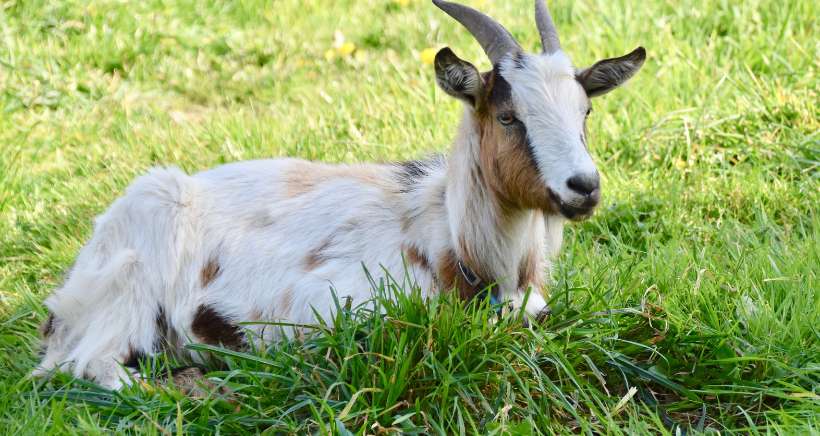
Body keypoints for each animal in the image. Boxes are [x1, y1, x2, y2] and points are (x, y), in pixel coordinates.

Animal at [35, 0, 644, 388]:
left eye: (585, 112)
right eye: (509, 116)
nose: (584, 187)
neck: (455, 243)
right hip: (131, 288)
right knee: (91, 366)